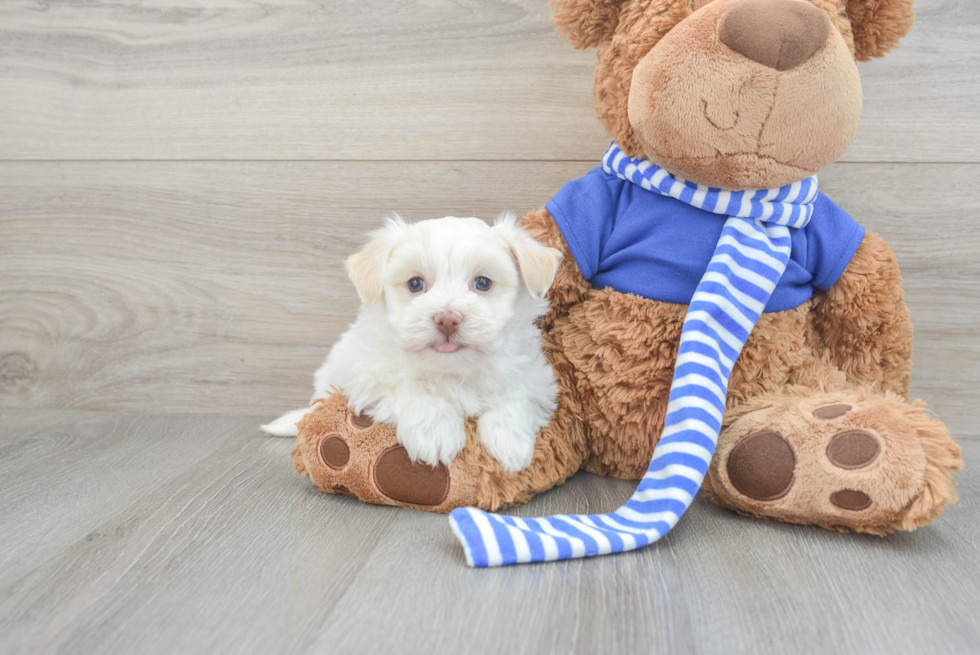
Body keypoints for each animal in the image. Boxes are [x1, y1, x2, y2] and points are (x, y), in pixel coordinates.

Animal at [260, 213, 564, 474]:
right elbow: (410, 388)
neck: (451, 369)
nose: (447, 319)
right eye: (415, 284)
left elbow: (516, 394)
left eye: (483, 283)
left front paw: (511, 441)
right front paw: (436, 433)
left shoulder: (533, 375)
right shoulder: (367, 375)